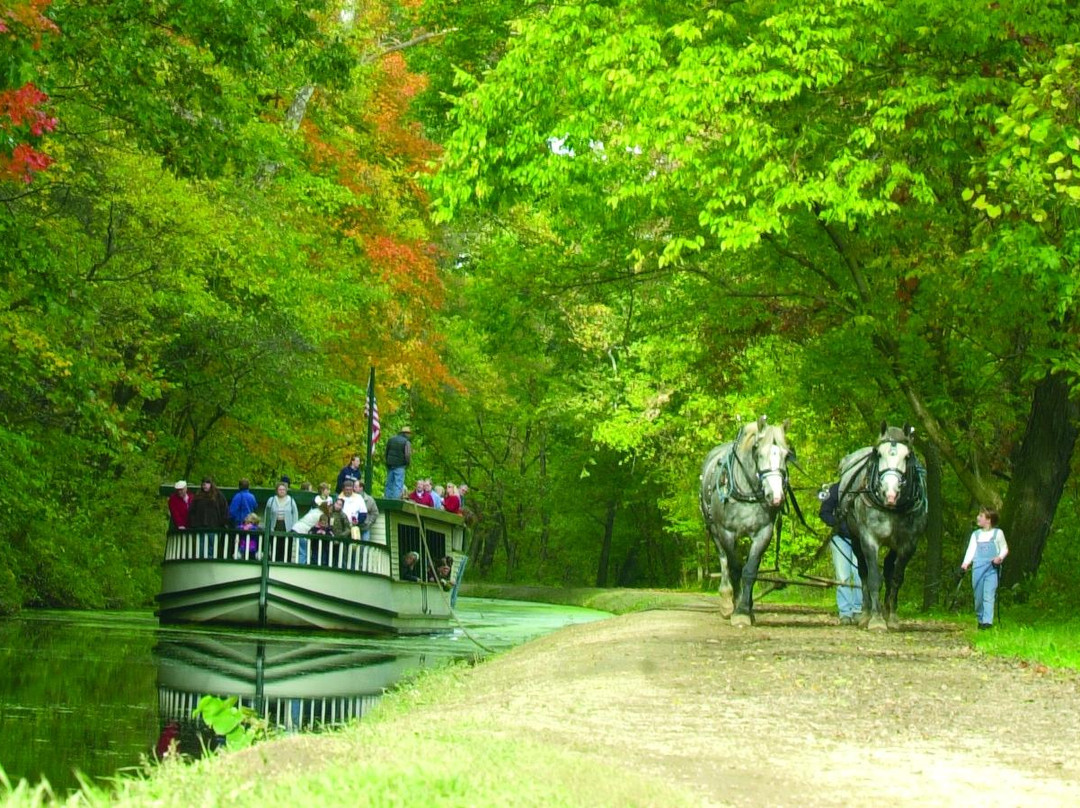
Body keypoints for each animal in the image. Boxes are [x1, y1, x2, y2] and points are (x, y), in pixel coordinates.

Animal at [699, 416, 794, 626]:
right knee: (724, 560)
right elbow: (735, 567)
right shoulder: (726, 532)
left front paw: (745, 609)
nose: (776, 496)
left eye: (786, 455)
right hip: (715, 530)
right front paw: (737, 611)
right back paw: (727, 601)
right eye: (759, 454)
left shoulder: (764, 532)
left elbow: (750, 569)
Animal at [833, 423, 928, 630]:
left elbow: (896, 578)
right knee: (863, 572)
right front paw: (876, 620)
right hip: (855, 538)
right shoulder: (869, 539)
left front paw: (891, 617)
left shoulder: (908, 543)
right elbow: (874, 577)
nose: (889, 493)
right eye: (878, 454)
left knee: (889, 567)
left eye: (907, 456)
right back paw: (865, 613)